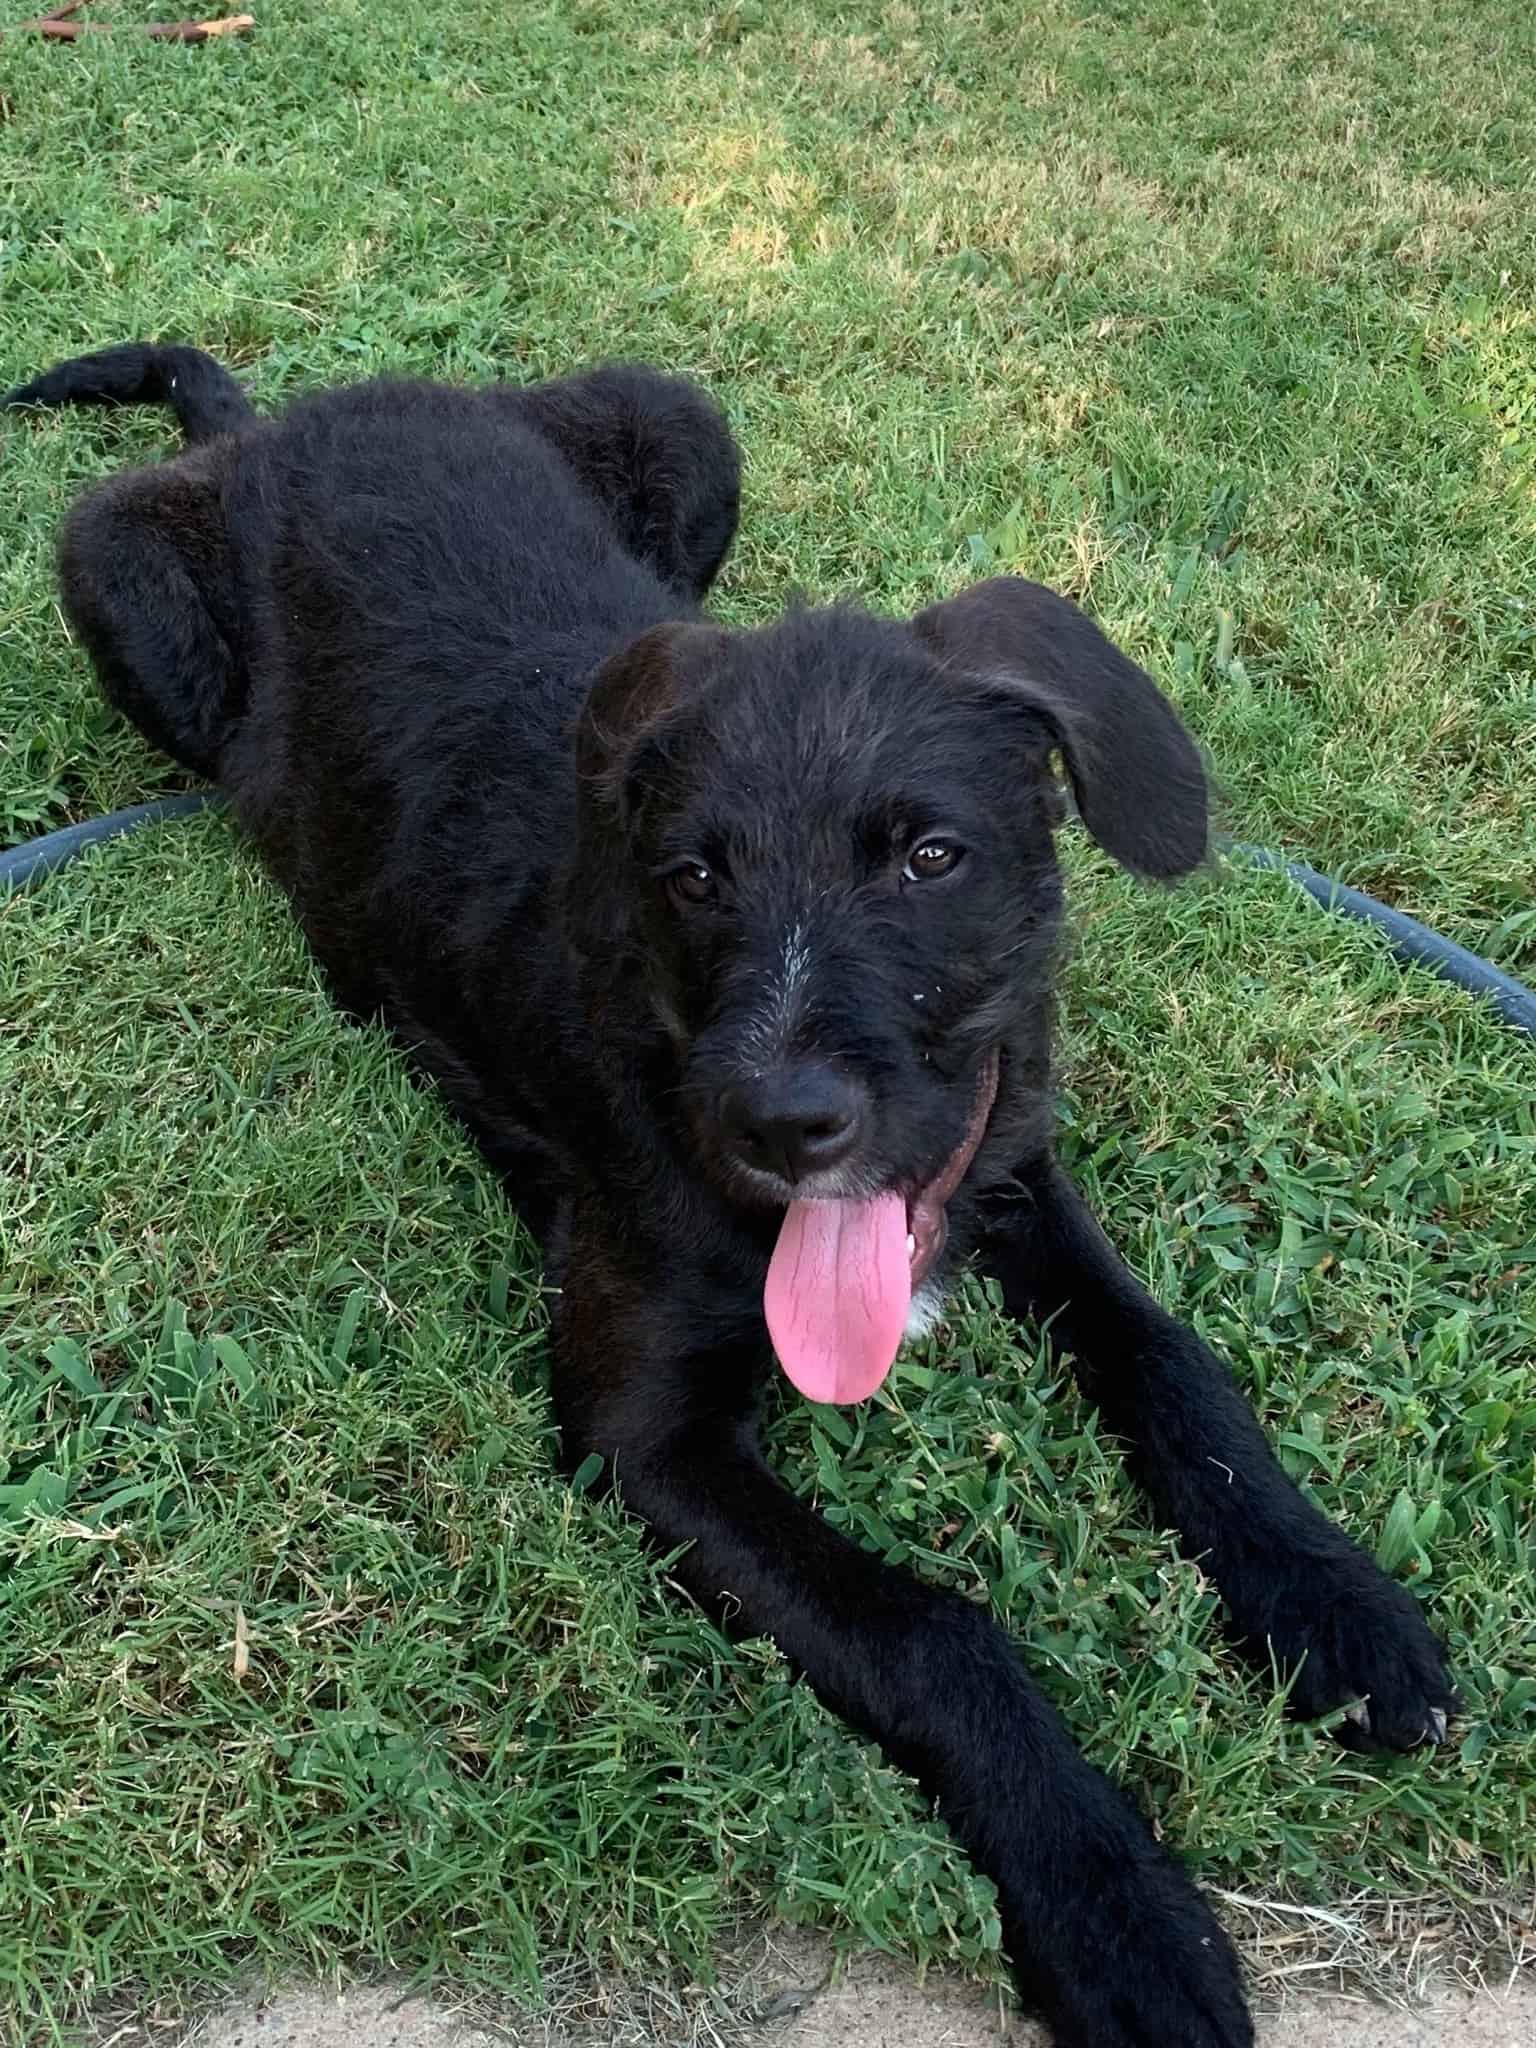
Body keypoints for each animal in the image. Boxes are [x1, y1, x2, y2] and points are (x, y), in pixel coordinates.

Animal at [7, 344, 1457, 2048]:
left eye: (931, 856)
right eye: (693, 876)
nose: (784, 1122)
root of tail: (274, 422)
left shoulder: (1008, 1172)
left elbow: (1175, 1366)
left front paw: (1332, 1602)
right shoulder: (643, 1435)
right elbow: (935, 1631)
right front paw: (1118, 1911)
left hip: (684, 424)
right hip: (119, 574)